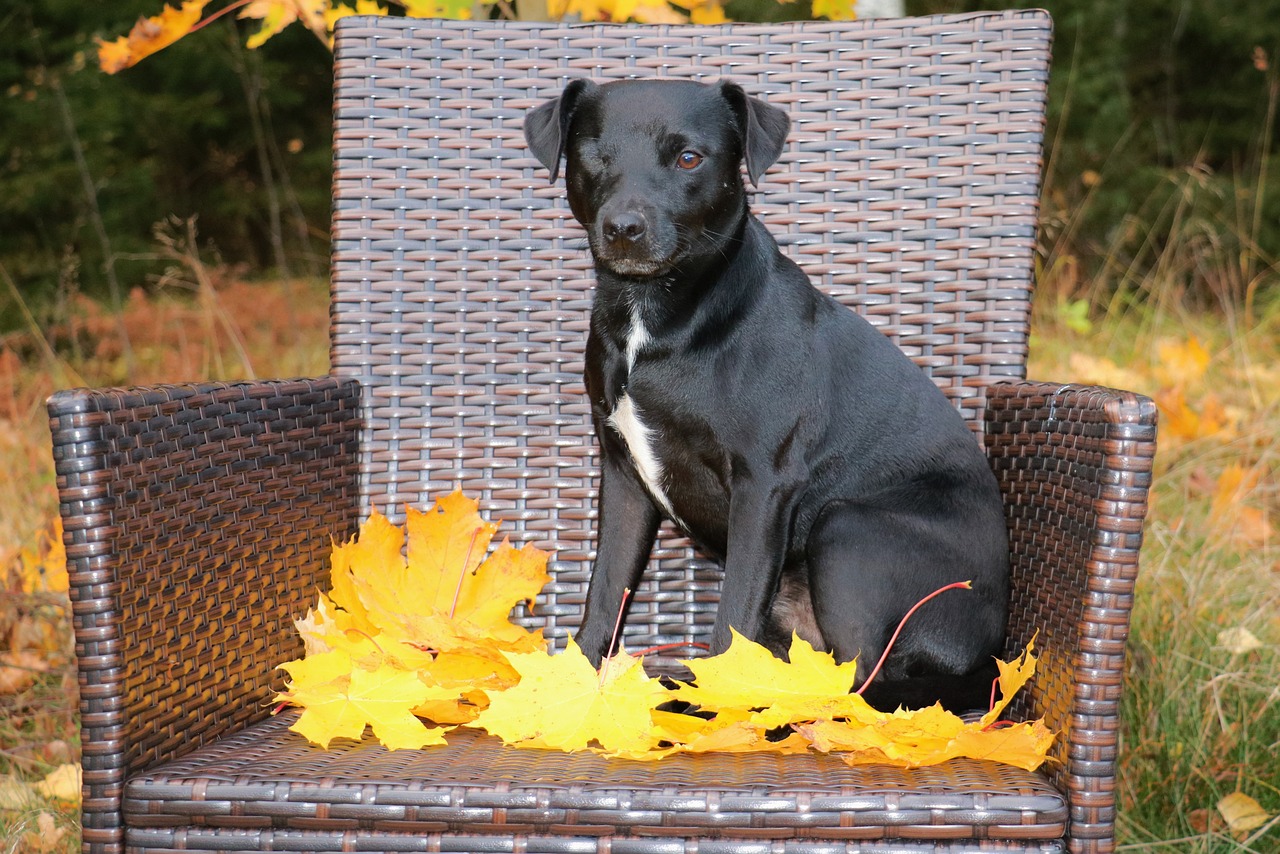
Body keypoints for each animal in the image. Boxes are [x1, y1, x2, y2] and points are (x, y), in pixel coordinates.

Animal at [524, 80, 1003, 711]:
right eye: (593, 153)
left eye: (689, 158)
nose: (625, 227)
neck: (654, 320)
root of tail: (994, 648)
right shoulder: (624, 477)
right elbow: (604, 597)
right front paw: (572, 689)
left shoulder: (762, 487)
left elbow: (731, 620)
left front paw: (711, 704)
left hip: (847, 529)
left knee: (858, 682)